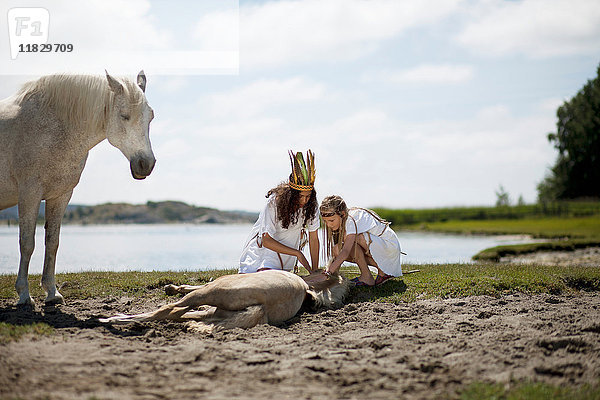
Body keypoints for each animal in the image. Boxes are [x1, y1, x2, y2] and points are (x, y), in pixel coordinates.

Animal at [0, 71, 157, 306]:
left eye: (151, 117)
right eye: (124, 115)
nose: (146, 164)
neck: (52, 126)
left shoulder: (61, 195)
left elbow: (52, 242)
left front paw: (52, 292)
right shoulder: (29, 193)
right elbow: (27, 243)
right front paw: (24, 295)